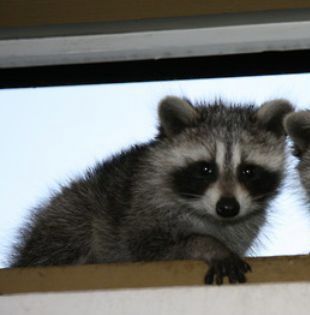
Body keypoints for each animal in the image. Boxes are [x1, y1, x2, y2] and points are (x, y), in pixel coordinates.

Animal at [10, 95, 294, 284]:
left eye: (248, 171)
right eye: (205, 169)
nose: (227, 208)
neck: (207, 214)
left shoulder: (243, 226)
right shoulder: (142, 204)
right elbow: (147, 245)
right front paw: (208, 245)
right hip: (75, 209)